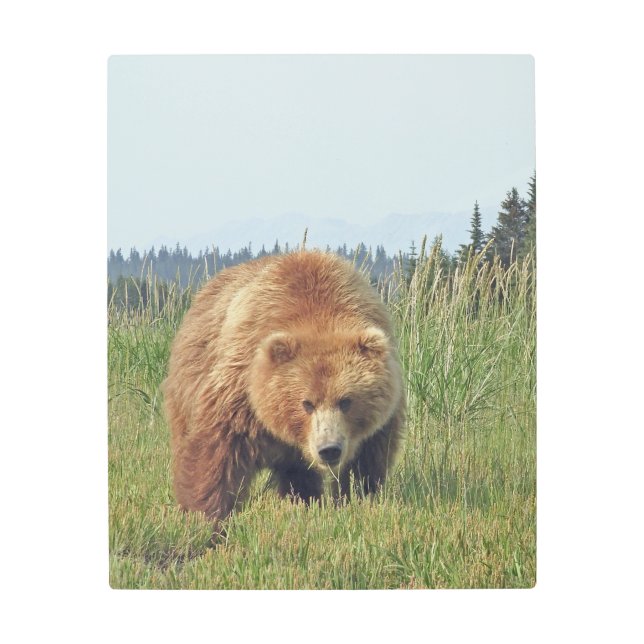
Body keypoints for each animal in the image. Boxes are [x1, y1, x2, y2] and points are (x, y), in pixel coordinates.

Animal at [162, 250, 406, 528]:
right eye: (306, 403)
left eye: (346, 401)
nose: (329, 449)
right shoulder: (242, 390)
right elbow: (216, 451)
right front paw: (204, 517)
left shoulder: (379, 421)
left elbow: (366, 464)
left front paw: (358, 499)